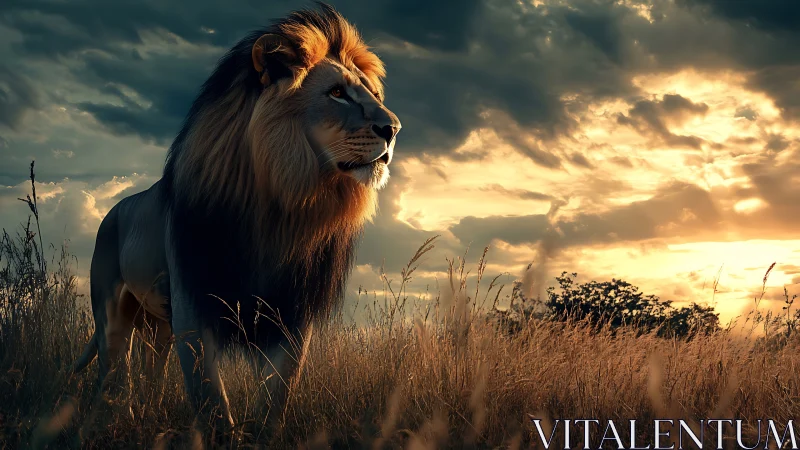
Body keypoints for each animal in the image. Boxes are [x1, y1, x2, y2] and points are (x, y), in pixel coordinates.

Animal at [70, 3, 400, 442]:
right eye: (336, 93)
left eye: (374, 95)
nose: (393, 129)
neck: (281, 207)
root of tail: (113, 210)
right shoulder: (194, 302)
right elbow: (211, 399)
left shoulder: (290, 312)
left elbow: (275, 398)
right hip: (111, 313)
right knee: (111, 372)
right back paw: (109, 421)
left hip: (158, 326)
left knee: (152, 372)